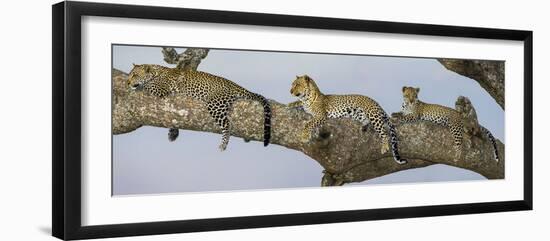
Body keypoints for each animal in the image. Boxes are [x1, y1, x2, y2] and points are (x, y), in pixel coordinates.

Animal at [125, 64, 272, 151]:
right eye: (129, 74)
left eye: (135, 75)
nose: (127, 82)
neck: (156, 71)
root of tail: (235, 85)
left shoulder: (160, 89)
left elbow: (147, 85)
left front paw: (138, 86)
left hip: (214, 104)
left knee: (227, 125)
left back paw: (223, 144)